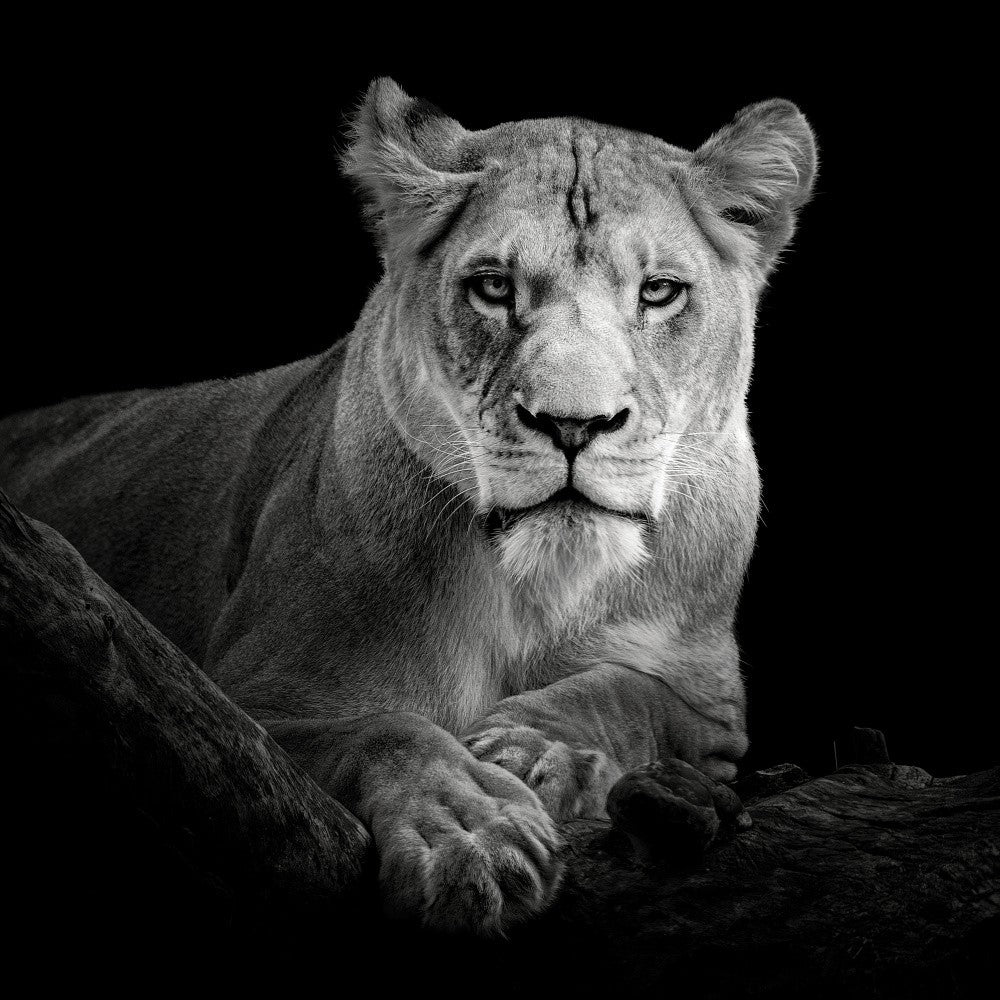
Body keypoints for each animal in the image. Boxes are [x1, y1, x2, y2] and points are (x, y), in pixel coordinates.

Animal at [0, 78, 816, 934]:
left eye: (659, 293)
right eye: (493, 286)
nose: (572, 424)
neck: (536, 587)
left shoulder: (711, 705)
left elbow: (630, 693)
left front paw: (537, 751)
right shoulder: (239, 710)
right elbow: (389, 730)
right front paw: (472, 834)